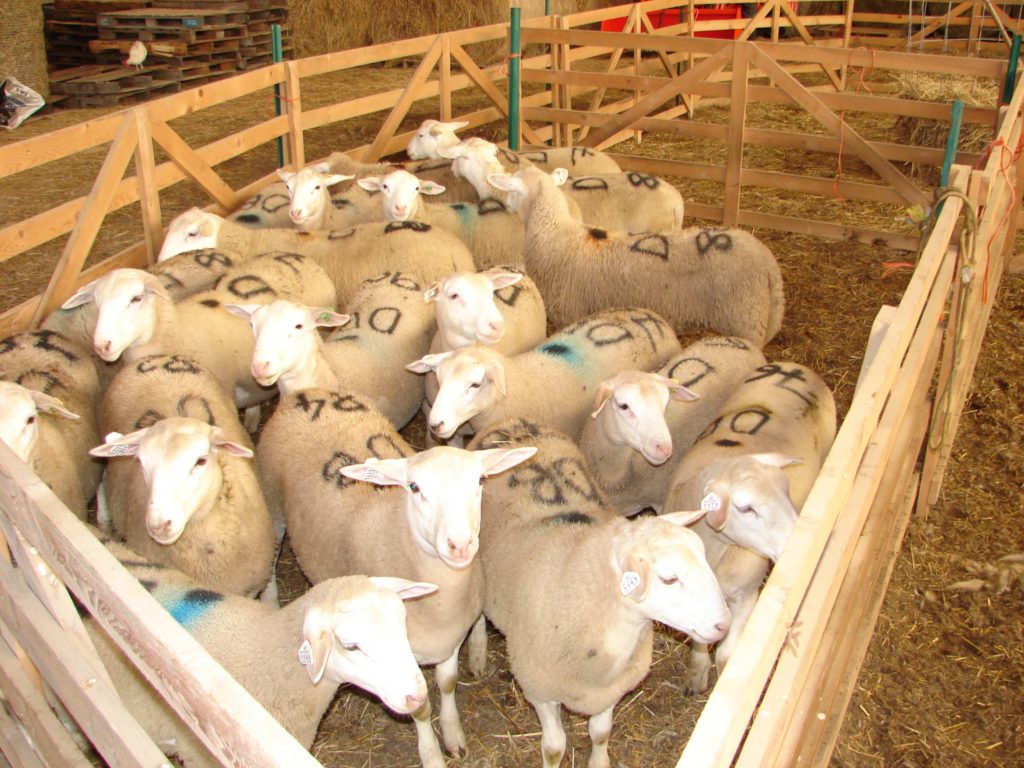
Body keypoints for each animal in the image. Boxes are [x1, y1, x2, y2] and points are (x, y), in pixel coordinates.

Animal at [256, 387, 537, 767]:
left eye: (479, 481)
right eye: (414, 487)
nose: (460, 544)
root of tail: (308, 392)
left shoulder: (450, 638)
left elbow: (447, 683)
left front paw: (453, 735)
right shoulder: (402, 658)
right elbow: (420, 708)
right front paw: (432, 755)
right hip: (272, 504)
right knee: (271, 555)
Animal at [467, 417, 730, 768]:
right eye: (669, 579)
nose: (723, 625)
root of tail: (511, 423)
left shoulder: (610, 690)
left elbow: (601, 733)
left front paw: (599, 760)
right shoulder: (540, 689)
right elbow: (554, 747)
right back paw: (477, 653)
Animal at [489, 166, 785, 346]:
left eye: (512, 190)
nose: (503, 206)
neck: (555, 233)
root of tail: (769, 265)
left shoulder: (571, 312)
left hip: (745, 320)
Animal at [580, 335, 768, 516]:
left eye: (665, 403)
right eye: (623, 406)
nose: (664, 449)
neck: (613, 473)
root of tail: (744, 342)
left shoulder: (660, 501)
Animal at [662, 361, 837, 693]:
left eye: (785, 491)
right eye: (745, 508)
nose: (797, 546)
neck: (717, 552)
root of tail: (796, 366)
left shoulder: (747, 595)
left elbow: (727, 655)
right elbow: (701, 638)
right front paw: (697, 673)